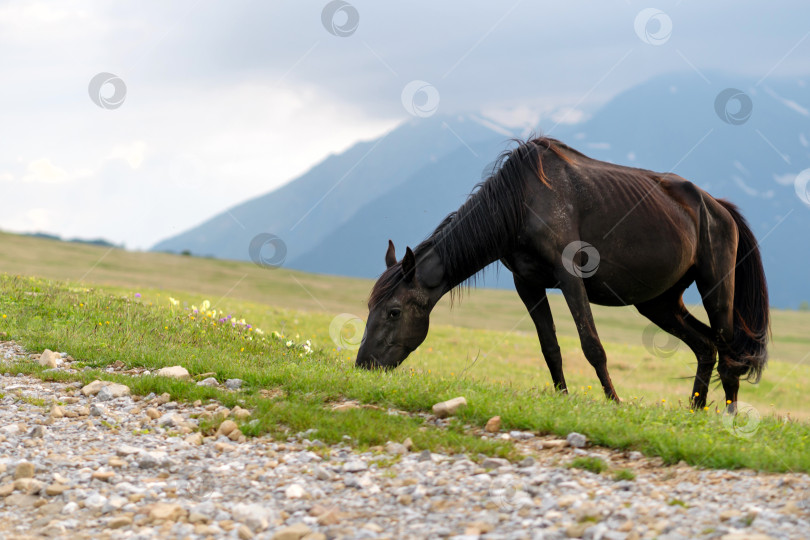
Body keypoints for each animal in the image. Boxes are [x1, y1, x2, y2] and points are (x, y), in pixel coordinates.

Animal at [356, 136, 772, 410]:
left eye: (394, 311)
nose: (363, 365)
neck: (520, 204)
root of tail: (718, 207)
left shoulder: (570, 278)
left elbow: (592, 345)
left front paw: (614, 401)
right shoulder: (527, 284)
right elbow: (550, 347)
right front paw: (563, 397)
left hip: (715, 288)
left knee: (728, 349)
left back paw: (728, 418)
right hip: (659, 303)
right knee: (705, 346)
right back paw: (694, 412)